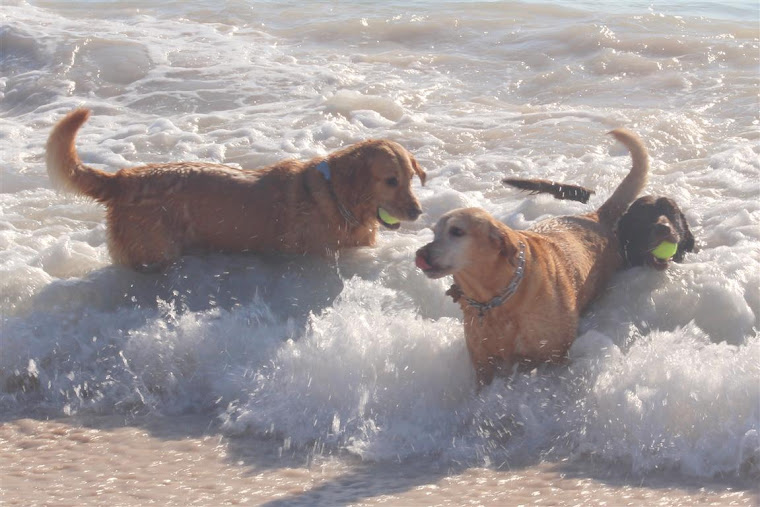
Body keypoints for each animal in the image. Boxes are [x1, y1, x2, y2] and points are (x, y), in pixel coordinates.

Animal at [47, 109, 428, 272]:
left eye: (411, 177)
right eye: (390, 180)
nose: (419, 211)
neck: (338, 198)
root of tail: (123, 178)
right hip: (153, 250)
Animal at [416, 129, 648, 386]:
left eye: (457, 231)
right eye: (434, 232)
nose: (421, 254)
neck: (497, 301)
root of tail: (595, 216)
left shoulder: (554, 357)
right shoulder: (482, 365)